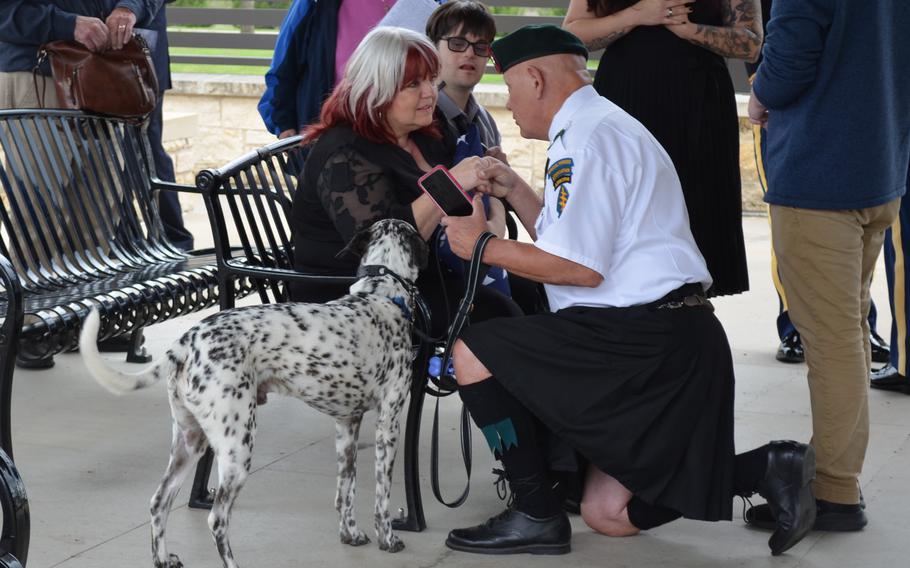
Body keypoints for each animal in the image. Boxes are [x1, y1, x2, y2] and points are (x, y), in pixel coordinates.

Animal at [79, 220, 432, 568]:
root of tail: (185, 342)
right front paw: (388, 539)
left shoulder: (347, 425)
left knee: (159, 501)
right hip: (237, 450)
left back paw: (163, 559)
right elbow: (382, 497)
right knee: (217, 519)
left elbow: (346, 490)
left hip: (189, 443)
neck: (382, 296)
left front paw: (351, 533)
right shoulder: (388, 424)